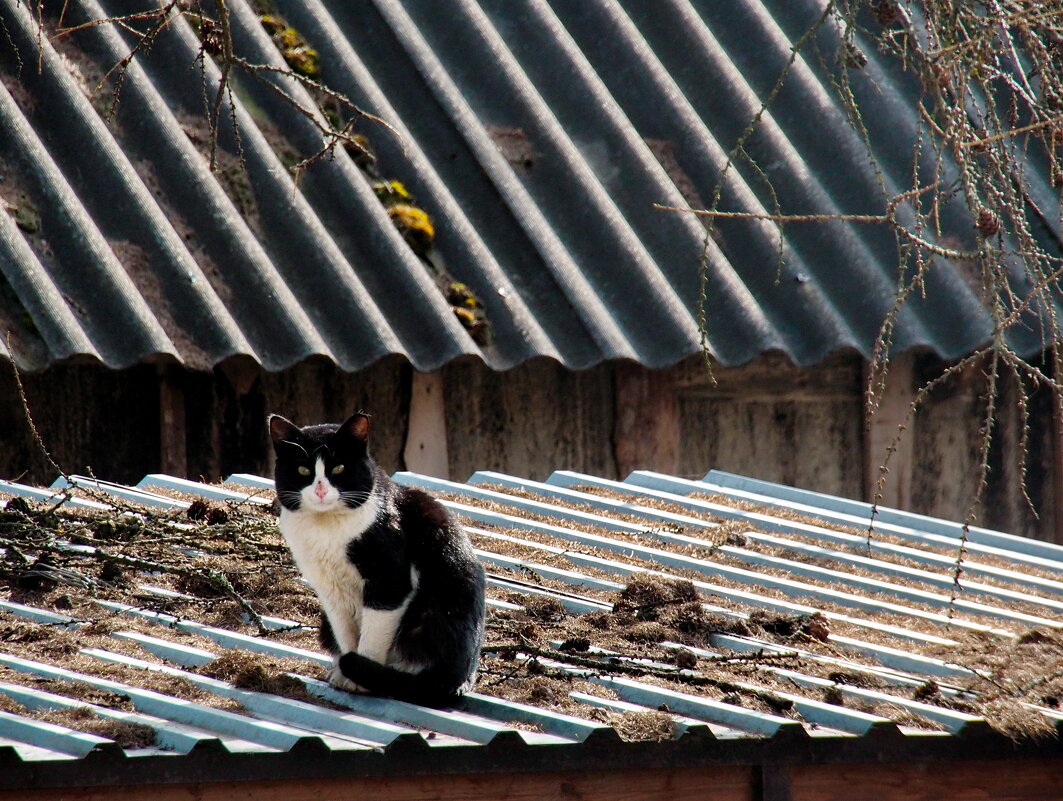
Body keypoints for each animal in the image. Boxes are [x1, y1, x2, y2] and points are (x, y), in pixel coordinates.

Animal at [265, 412, 486, 705]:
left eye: (339, 468)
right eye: (303, 470)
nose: (321, 491)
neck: (326, 530)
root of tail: (463, 679)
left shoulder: (390, 581)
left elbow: (371, 638)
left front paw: (357, 680)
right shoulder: (328, 590)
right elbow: (345, 633)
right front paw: (343, 674)